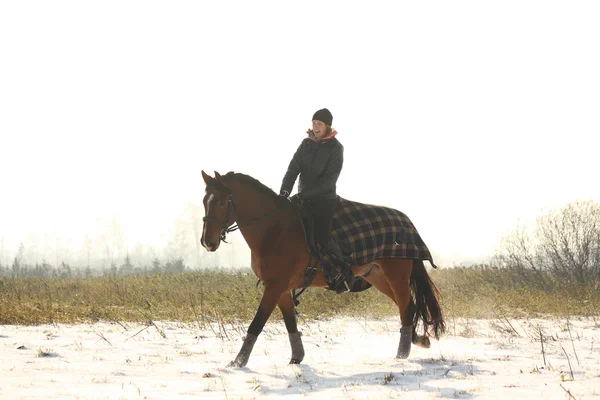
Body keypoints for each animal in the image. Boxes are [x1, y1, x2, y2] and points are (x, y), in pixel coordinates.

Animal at [202, 170, 446, 368]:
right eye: (205, 201)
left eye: (222, 203)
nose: (207, 242)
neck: (273, 229)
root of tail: (406, 222)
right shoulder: (281, 289)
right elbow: (290, 323)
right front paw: (296, 358)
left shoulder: (274, 286)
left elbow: (257, 322)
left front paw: (238, 362)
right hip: (378, 277)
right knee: (408, 306)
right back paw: (417, 341)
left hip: (396, 276)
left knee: (406, 306)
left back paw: (402, 353)